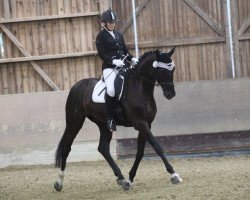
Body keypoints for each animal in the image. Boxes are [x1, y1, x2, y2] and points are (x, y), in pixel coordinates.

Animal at [54, 47, 182, 191]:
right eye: (161, 70)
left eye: (173, 69)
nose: (170, 94)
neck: (139, 87)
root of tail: (77, 85)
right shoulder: (140, 123)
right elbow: (157, 147)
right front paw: (174, 175)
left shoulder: (146, 124)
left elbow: (140, 152)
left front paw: (130, 179)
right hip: (75, 122)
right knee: (66, 146)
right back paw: (59, 182)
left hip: (103, 124)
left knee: (103, 148)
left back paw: (121, 178)